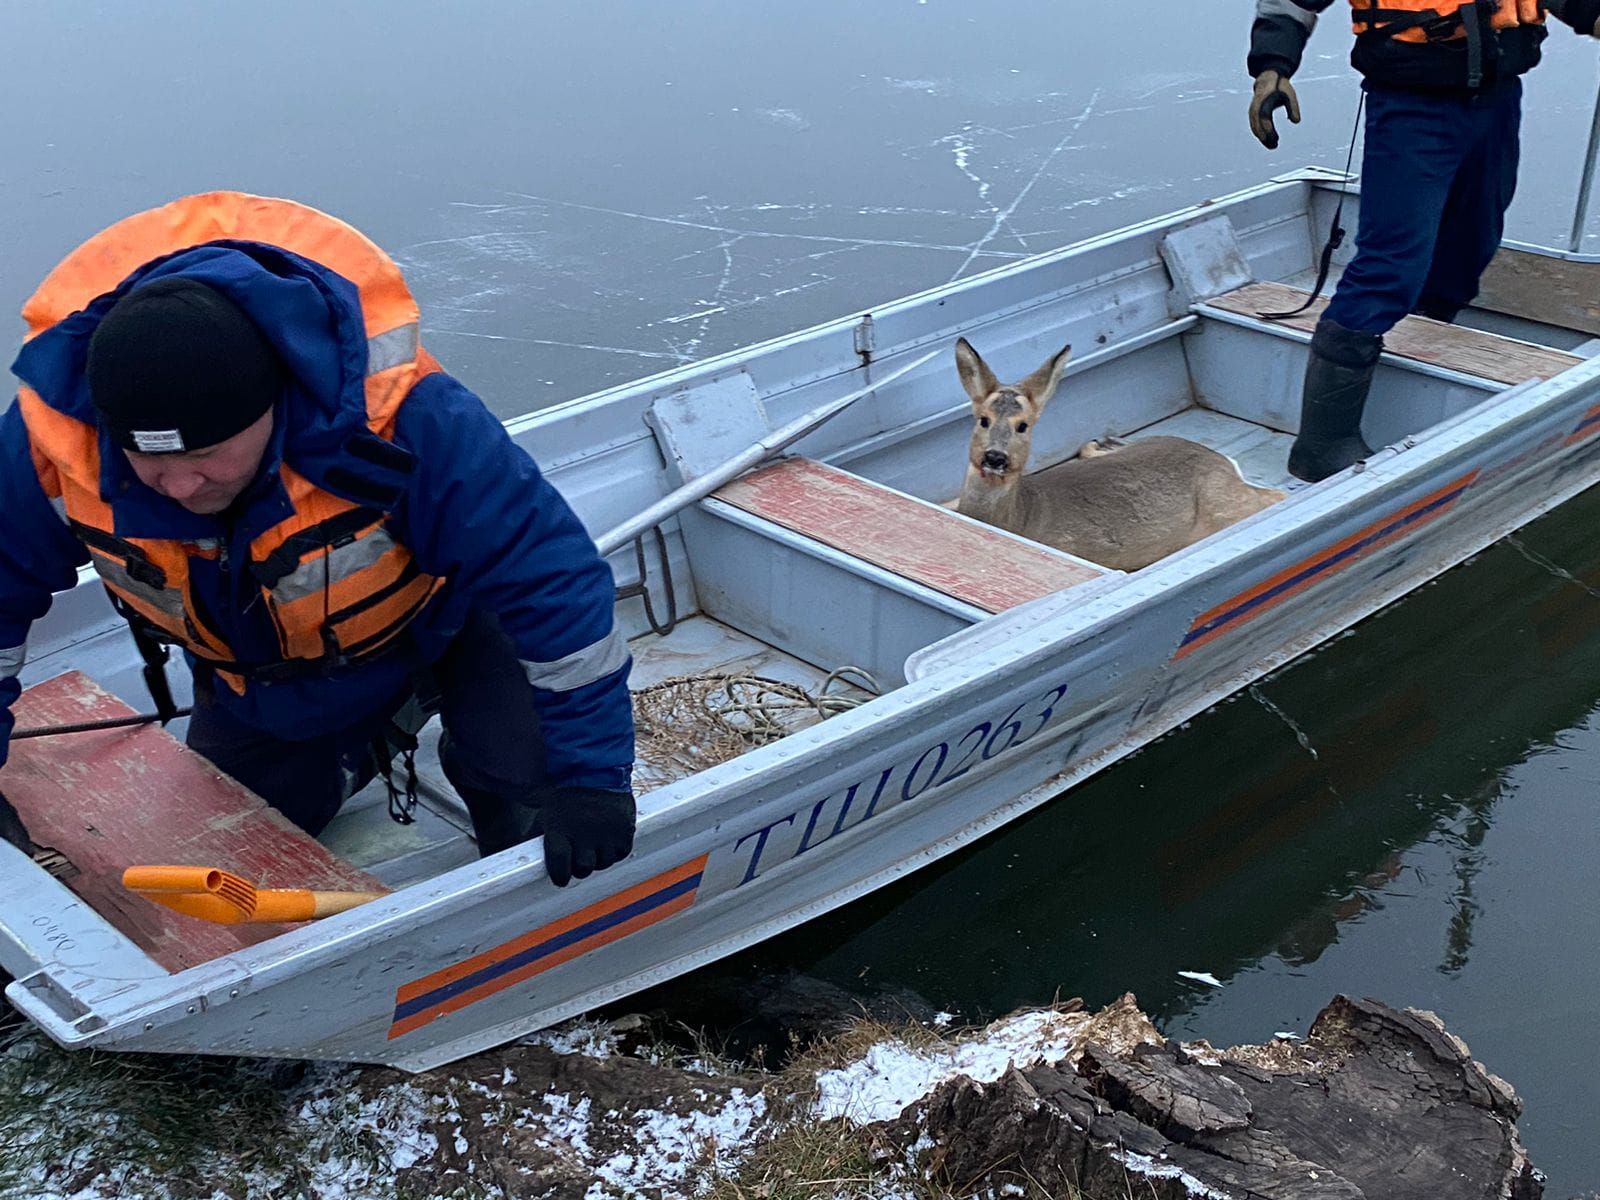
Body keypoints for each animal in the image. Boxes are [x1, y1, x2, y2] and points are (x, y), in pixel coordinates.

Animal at [947, 331, 1286, 569]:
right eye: (983, 419)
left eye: (1023, 426)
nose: (995, 457)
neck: (1021, 519)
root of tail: (1223, 461)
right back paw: (1103, 442)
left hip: (1223, 503)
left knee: (1276, 495)